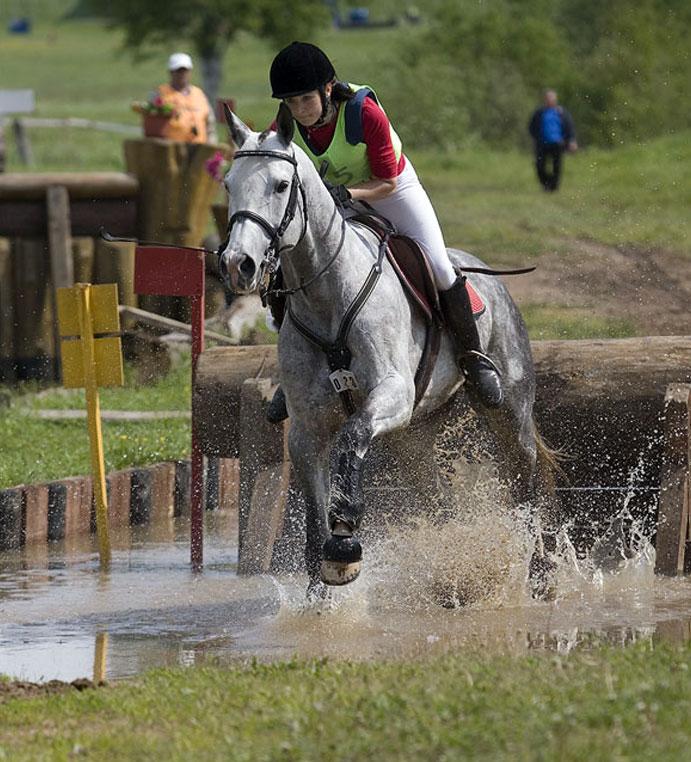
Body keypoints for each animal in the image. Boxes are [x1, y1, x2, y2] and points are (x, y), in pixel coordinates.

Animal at [219, 108, 556, 601]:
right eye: (228, 184)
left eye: (281, 185)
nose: (236, 264)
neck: (327, 297)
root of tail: (487, 275)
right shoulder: (306, 427)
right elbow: (313, 515)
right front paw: (319, 598)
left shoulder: (390, 393)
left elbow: (352, 438)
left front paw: (344, 545)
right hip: (413, 434)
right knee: (439, 500)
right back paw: (454, 572)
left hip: (508, 410)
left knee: (526, 483)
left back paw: (541, 577)